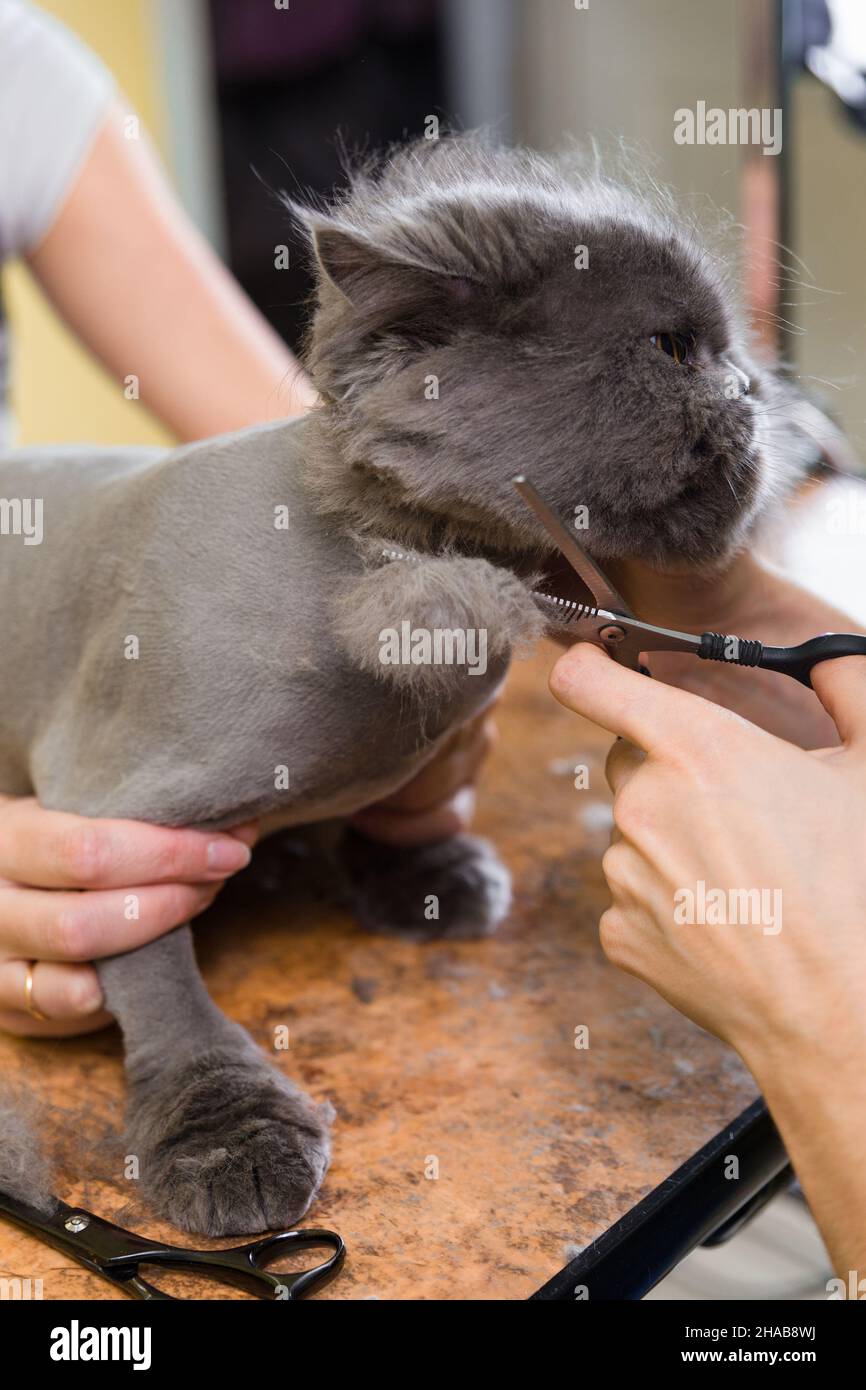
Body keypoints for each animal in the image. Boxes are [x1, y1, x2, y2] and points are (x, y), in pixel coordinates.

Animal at [0, 135, 817, 1234]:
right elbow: (160, 981)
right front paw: (225, 1130)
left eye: (723, 351)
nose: (751, 388)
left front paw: (418, 875)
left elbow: (400, 801)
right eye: (675, 349)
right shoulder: (111, 815)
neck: (392, 560)